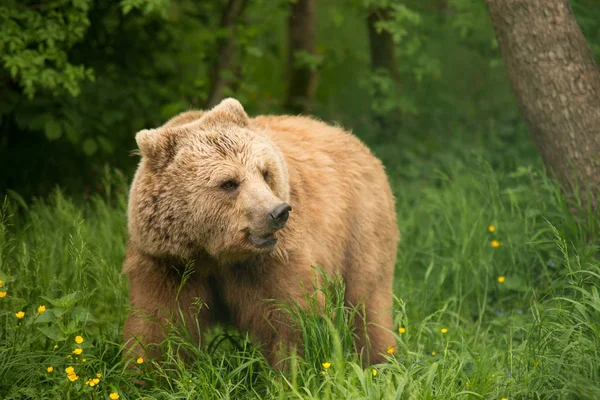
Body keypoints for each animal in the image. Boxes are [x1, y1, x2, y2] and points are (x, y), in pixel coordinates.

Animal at [123, 98, 398, 368]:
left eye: (265, 173)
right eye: (228, 182)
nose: (278, 211)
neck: (213, 254)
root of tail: (352, 138)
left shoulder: (271, 262)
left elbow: (291, 318)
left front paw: (292, 368)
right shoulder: (168, 265)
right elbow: (157, 324)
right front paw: (144, 370)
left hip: (361, 224)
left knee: (366, 300)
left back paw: (378, 360)